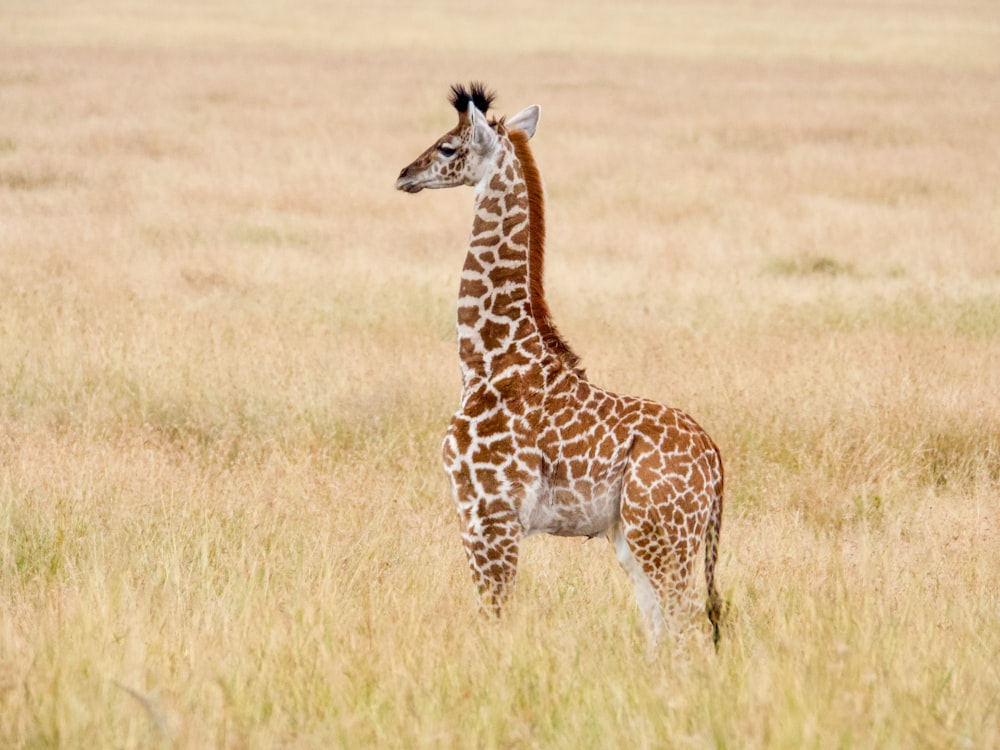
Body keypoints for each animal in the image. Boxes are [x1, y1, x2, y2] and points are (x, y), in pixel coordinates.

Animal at [392, 83, 728, 648]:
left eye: (446, 146)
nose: (403, 175)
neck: (489, 359)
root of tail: (716, 462)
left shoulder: (489, 514)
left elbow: (494, 616)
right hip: (636, 537)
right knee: (661, 628)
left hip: (662, 534)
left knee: (686, 628)